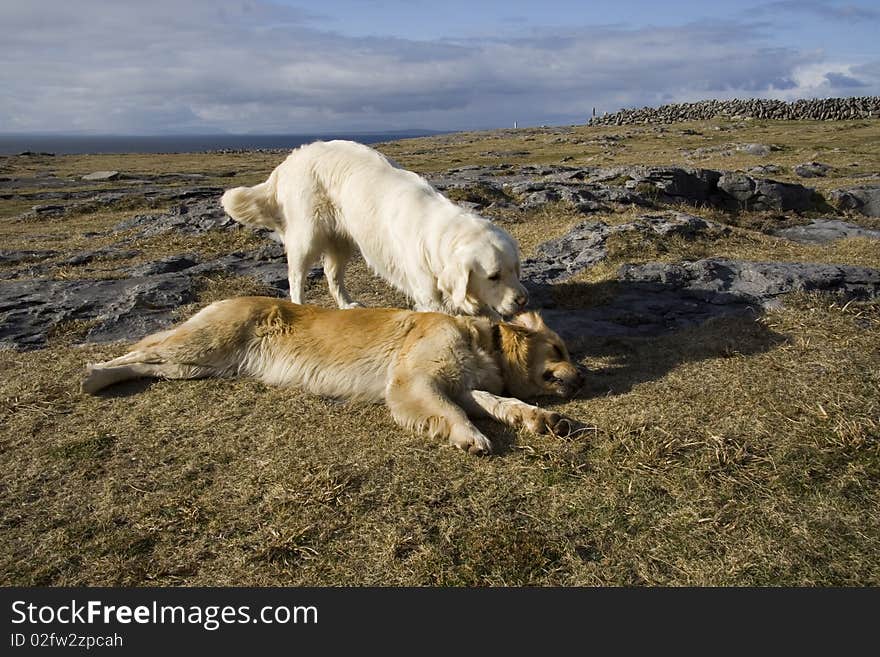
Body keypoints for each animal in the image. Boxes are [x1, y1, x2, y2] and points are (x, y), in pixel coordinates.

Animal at [82, 296, 588, 454]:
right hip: (201, 345)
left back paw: (101, 380)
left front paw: (540, 419)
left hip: (196, 366)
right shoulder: (413, 384)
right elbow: (453, 414)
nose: (583, 379)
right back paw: (91, 373)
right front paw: (471, 438)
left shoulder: (461, 386)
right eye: (559, 349)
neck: (482, 341)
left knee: (145, 363)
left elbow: (500, 403)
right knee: (138, 351)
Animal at [220, 141, 524, 318]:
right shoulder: (430, 296)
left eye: (515, 270)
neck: (438, 232)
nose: (523, 300)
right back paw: (299, 305)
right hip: (308, 235)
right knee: (296, 275)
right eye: (494, 276)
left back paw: (347, 305)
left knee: (332, 275)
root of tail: (289, 160)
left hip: (342, 241)